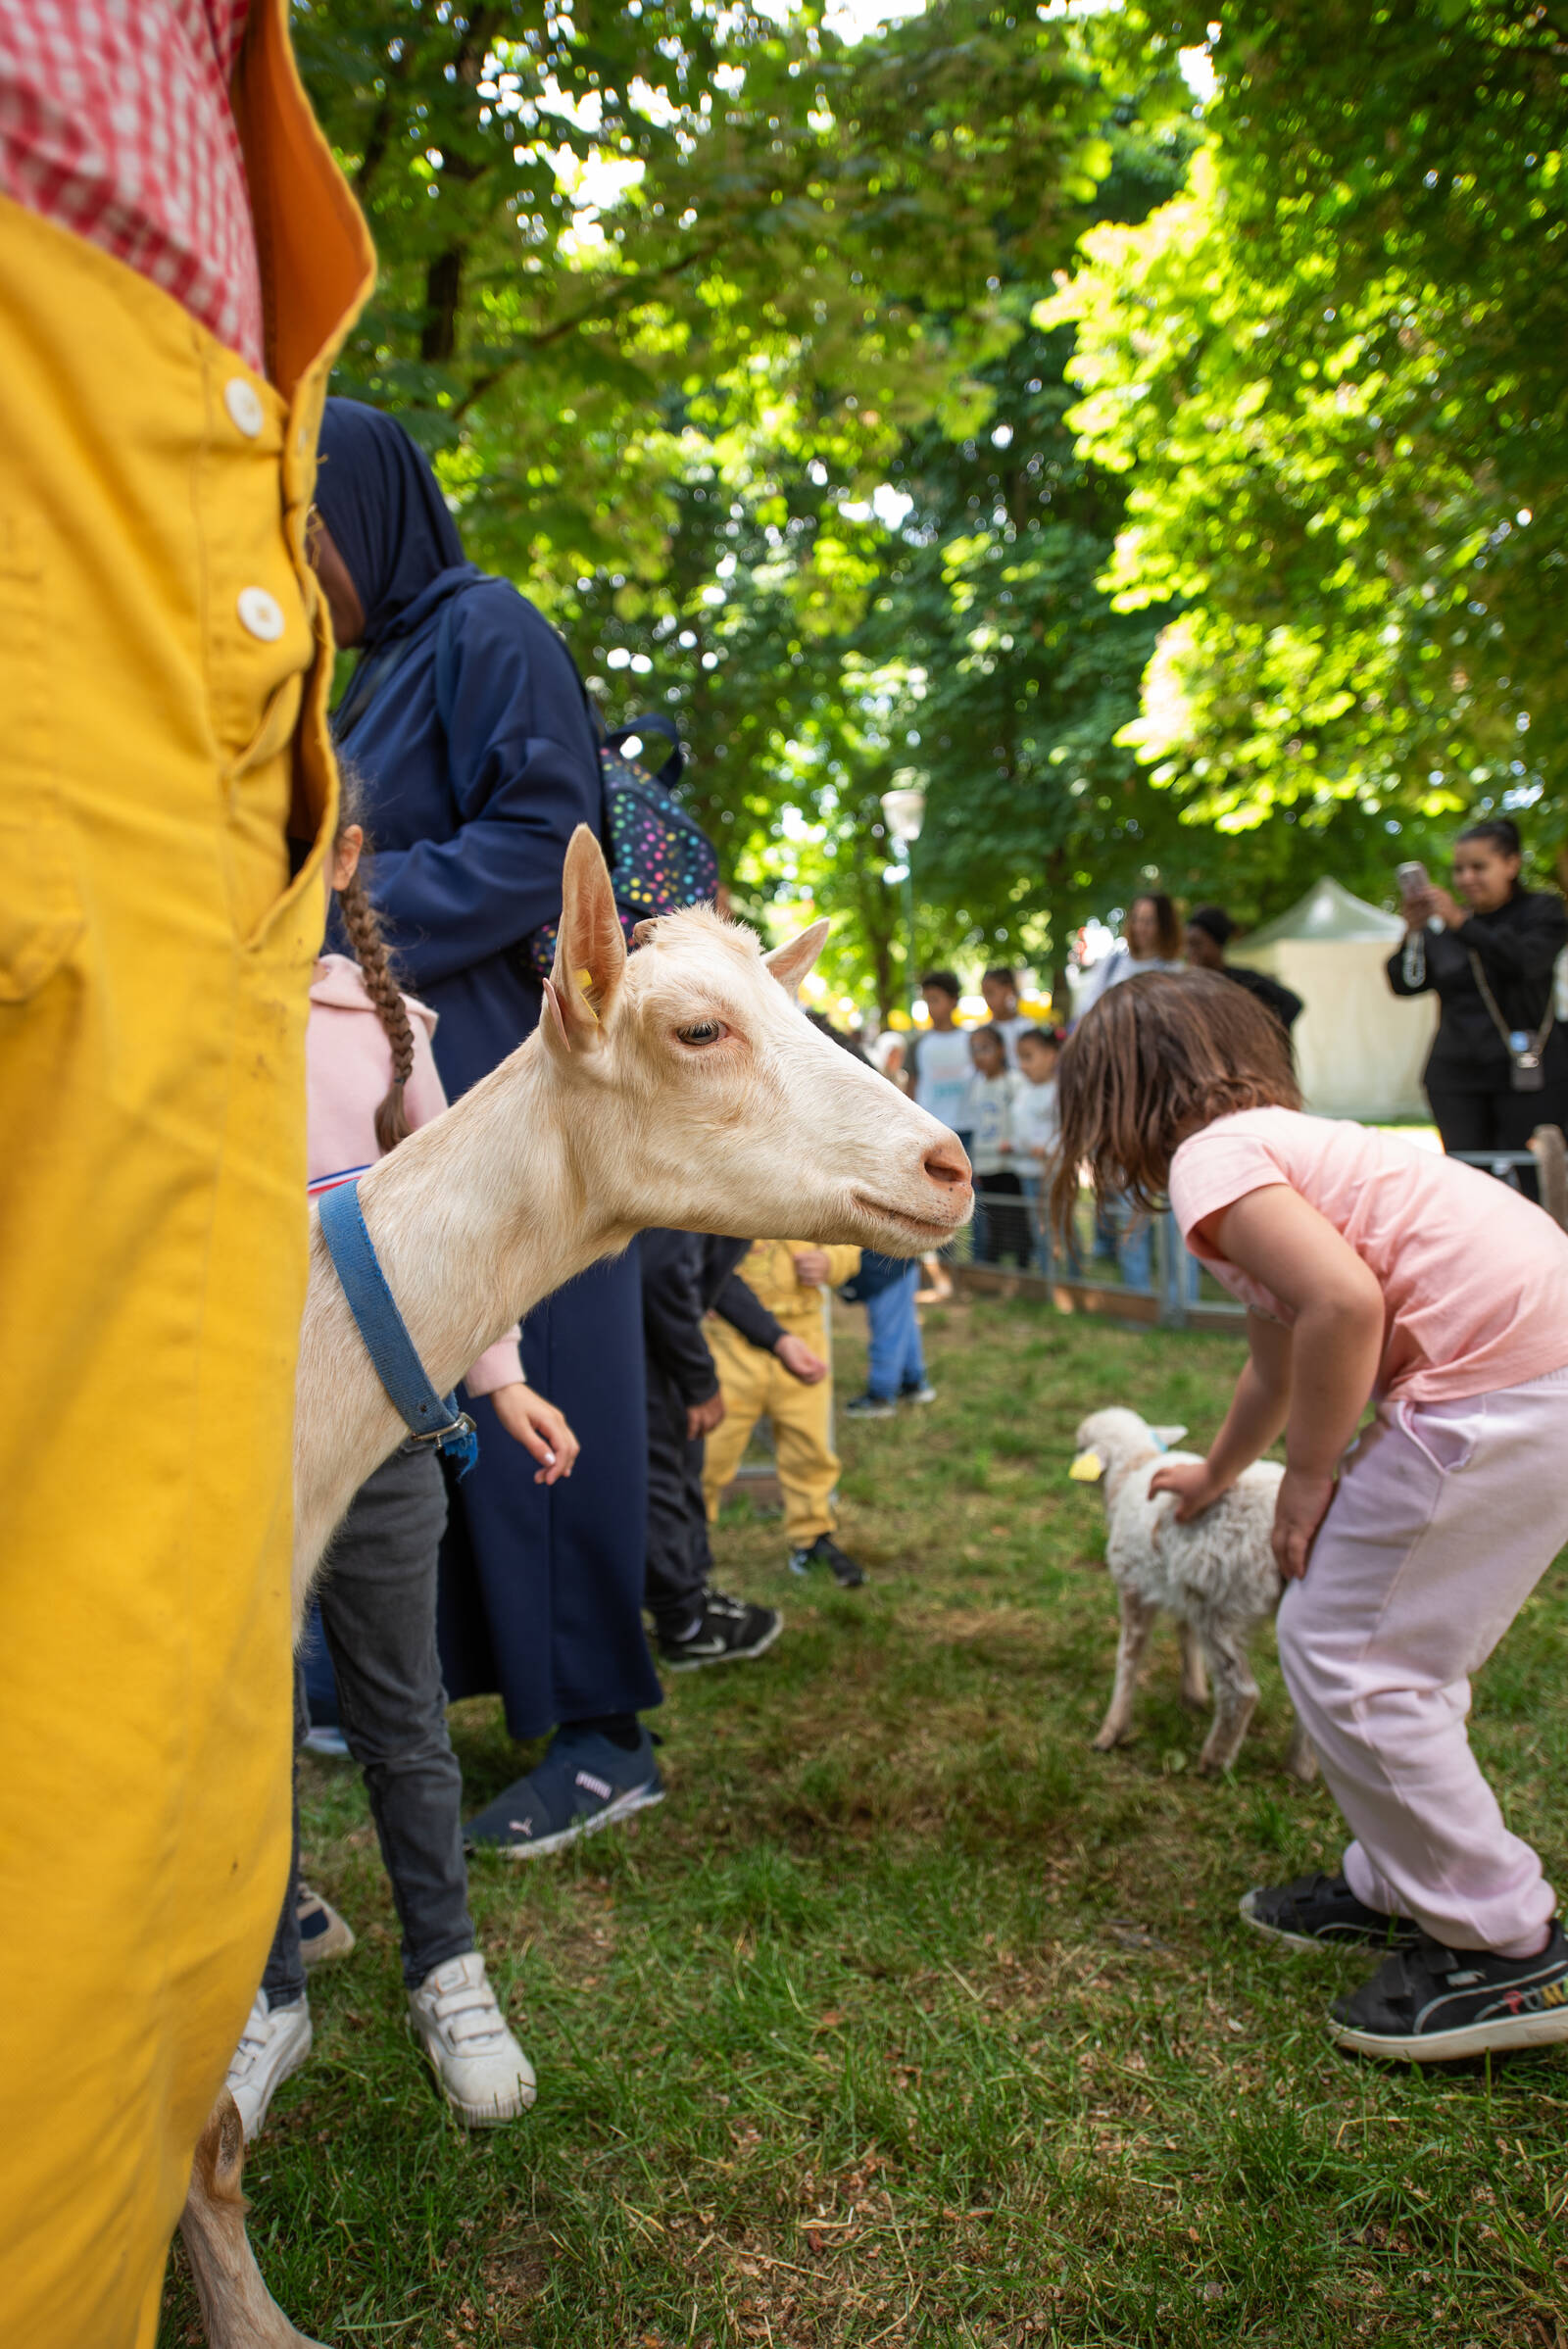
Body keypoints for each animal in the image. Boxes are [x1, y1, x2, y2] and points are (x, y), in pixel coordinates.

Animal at [1071, 1408, 1316, 1783]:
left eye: (1081, 1446)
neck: (1135, 1466)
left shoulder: (1133, 1583)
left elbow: (1129, 1654)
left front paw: (1110, 1731)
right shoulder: (1182, 1585)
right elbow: (1184, 1633)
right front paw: (1194, 1694)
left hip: (1223, 1606)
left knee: (1241, 1692)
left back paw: (1214, 1762)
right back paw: (1300, 1767)